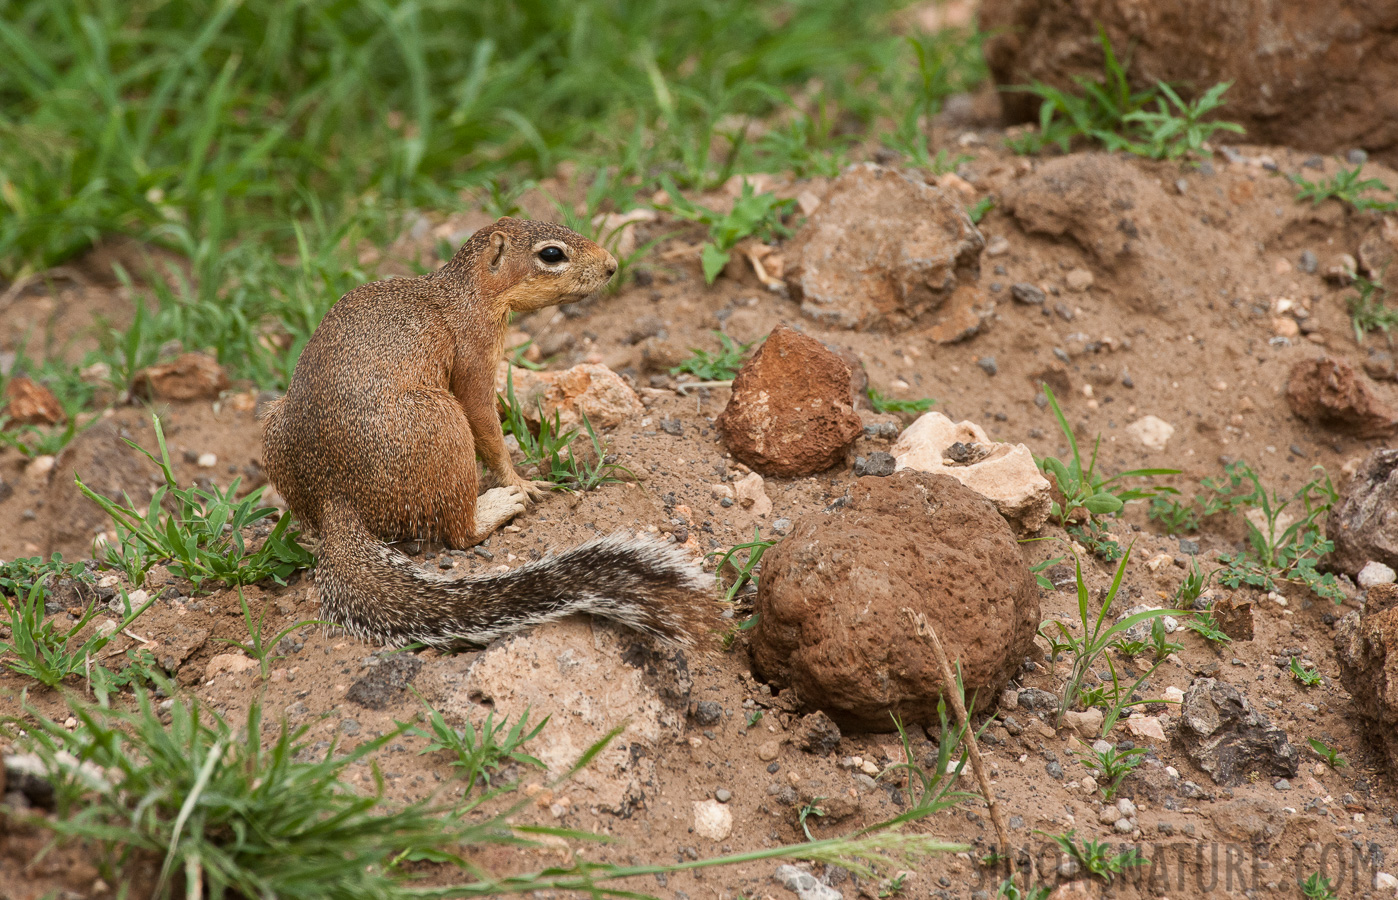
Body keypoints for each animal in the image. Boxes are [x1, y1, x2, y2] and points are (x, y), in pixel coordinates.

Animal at [262, 220, 715, 651]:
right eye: (552, 254)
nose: (612, 266)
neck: (465, 292)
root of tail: (336, 500)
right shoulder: (475, 351)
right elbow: (484, 417)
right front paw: (520, 481)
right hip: (441, 421)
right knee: (459, 532)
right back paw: (498, 505)